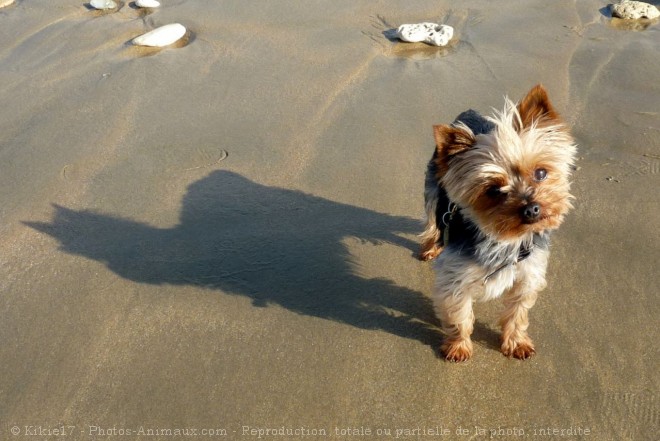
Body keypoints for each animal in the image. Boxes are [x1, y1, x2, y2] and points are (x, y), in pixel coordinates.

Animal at [420, 84, 576, 360]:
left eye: (540, 173)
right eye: (493, 190)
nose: (532, 208)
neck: (506, 241)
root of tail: (469, 113)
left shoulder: (528, 274)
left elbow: (517, 312)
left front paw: (515, 342)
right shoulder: (455, 278)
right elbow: (459, 314)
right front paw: (458, 346)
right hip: (433, 188)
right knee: (432, 221)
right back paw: (430, 247)